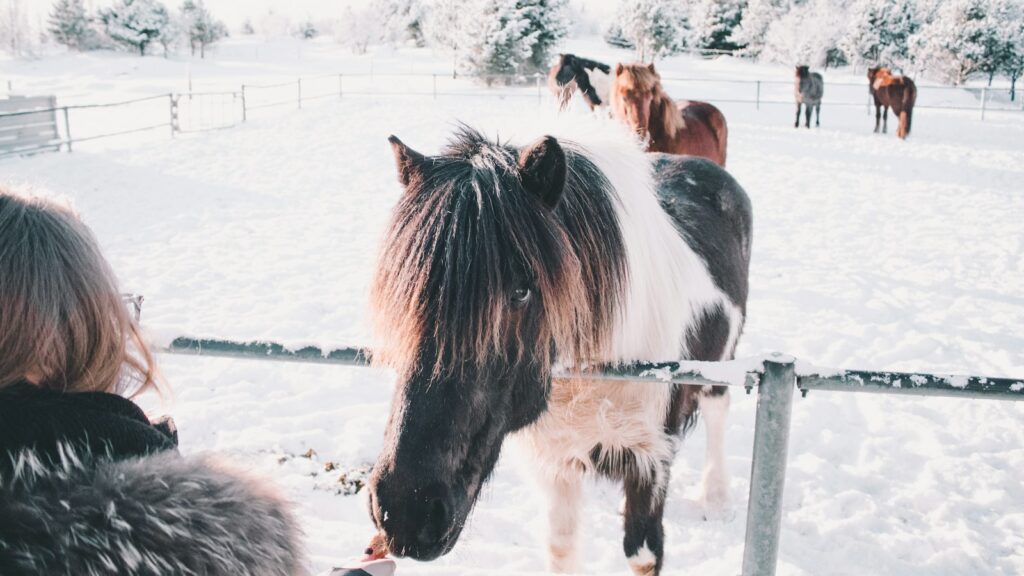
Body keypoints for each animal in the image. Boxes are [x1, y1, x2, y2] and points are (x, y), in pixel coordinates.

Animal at [367, 123, 752, 575]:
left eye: (521, 291)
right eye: (406, 292)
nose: (405, 510)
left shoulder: (652, 459)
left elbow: (642, 554)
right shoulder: (556, 463)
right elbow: (561, 549)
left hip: (721, 363)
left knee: (717, 408)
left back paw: (716, 496)